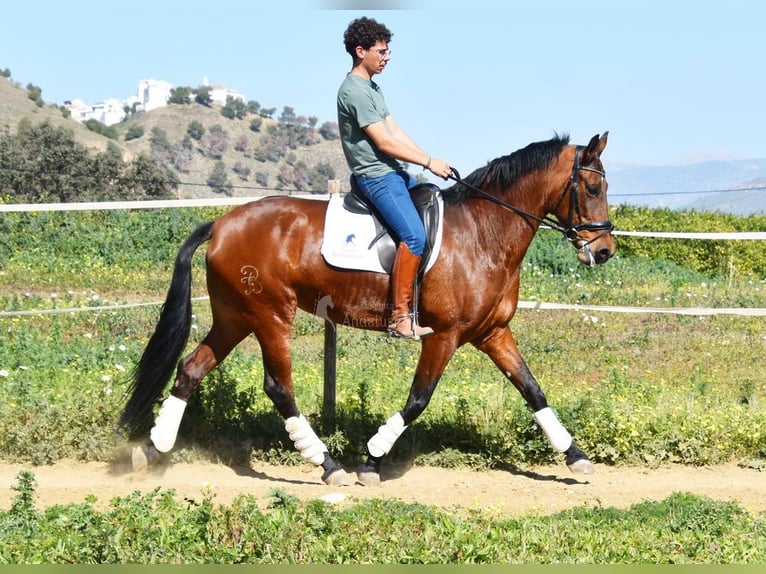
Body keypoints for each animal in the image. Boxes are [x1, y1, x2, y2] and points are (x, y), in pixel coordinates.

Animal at [120, 133, 616, 488]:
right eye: (592, 186)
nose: (605, 250)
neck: (482, 233)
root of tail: (222, 223)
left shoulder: (493, 333)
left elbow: (533, 390)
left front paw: (576, 456)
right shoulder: (444, 336)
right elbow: (419, 398)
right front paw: (373, 459)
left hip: (234, 316)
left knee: (191, 368)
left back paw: (153, 448)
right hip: (270, 314)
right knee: (278, 387)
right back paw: (329, 465)